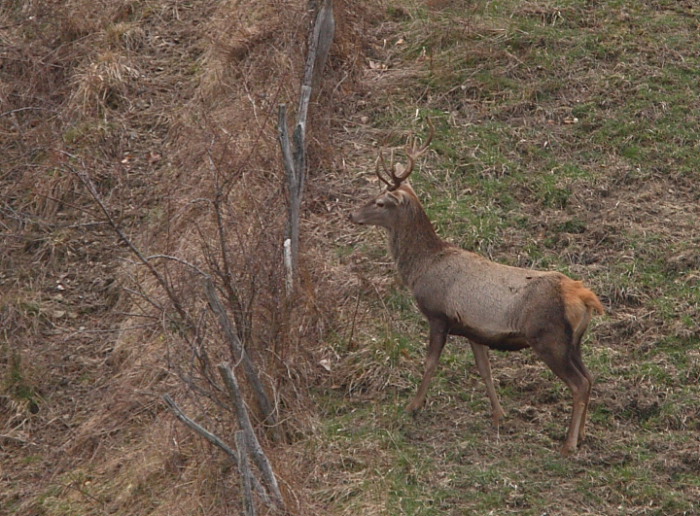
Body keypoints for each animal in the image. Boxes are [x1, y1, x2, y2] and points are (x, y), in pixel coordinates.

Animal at [348, 122, 604, 456]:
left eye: (380, 202)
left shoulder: (438, 315)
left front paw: (413, 406)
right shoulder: (473, 329)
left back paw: (569, 444)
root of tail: (584, 298)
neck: (422, 268)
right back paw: (583, 434)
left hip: (549, 338)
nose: (352, 215)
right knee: (590, 376)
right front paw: (498, 414)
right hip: (574, 342)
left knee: (579, 383)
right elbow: (485, 369)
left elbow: (430, 363)